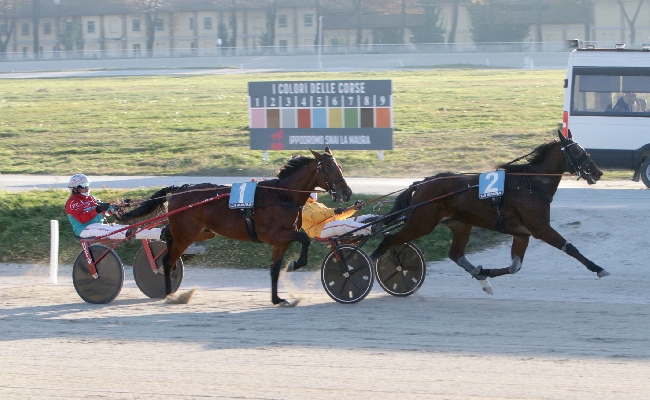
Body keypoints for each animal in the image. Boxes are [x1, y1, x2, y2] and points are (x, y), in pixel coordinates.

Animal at [114, 148, 352, 306]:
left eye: (339, 166)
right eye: (329, 167)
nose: (347, 192)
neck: (282, 196)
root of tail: (181, 188)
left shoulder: (280, 241)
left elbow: (275, 269)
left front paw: (277, 298)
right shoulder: (277, 235)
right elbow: (304, 238)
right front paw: (295, 264)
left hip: (201, 233)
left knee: (167, 236)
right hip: (186, 235)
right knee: (167, 260)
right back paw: (170, 294)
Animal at [370, 131, 608, 294]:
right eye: (576, 151)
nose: (598, 172)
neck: (530, 185)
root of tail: (422, 183)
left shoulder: (522, 233)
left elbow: (514, 266)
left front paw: (484, 272)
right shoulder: (540, 228)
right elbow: (570, 248)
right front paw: (598, 268)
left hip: (460, 224)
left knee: (455, 254)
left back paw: (481, 278)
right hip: (421, 223)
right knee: (388, 241)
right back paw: (369, 266)